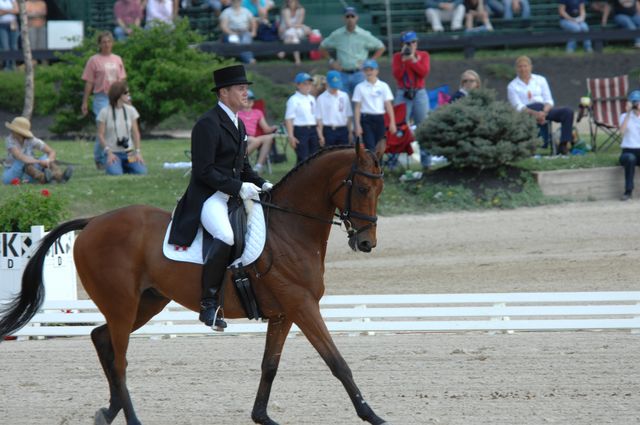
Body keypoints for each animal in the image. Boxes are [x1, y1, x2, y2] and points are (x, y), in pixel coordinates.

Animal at [0, 143, 390, 424]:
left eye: (380, 188)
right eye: (363, 187)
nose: (366, 243)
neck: (289, 228)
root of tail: (94, 221)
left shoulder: (283, 313)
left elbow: (270, 365)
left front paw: (261, 417)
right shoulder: (302, 305)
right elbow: (337, 362)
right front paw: (373, 415)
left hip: (147, 301)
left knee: (101, 339)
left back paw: (108, 412)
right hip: (123, 304)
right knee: (120, 359)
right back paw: (131, 418)